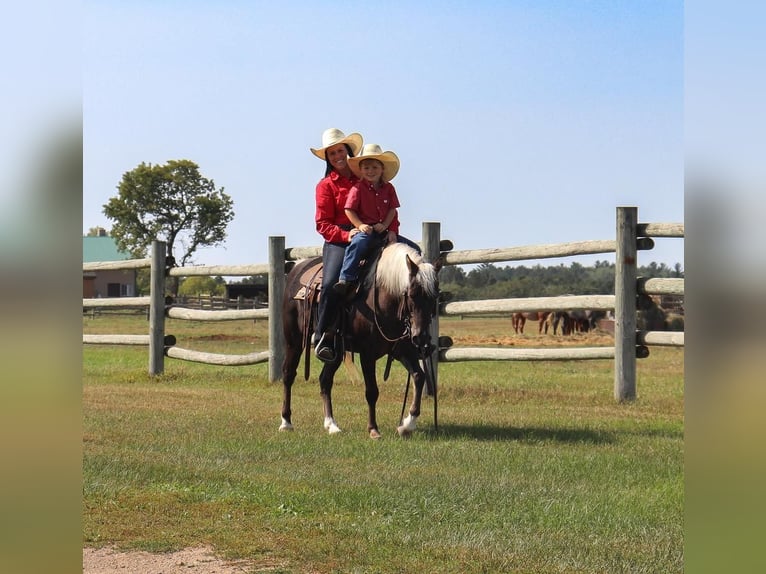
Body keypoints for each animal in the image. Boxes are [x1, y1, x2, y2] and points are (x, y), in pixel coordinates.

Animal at [280, 243, 440, 440]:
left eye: (434, 297)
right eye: (411, 294)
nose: (421, 337)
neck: (383, 297)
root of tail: (297, 268)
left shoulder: (403, 350)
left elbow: (419, 377)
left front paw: (407, 424)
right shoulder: (367, 354)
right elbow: (372, 391)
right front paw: (373, 429)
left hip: (334, 351)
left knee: (325, 380)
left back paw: (331, 424)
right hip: (293, 341)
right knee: (288, 374)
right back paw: (286, 422)